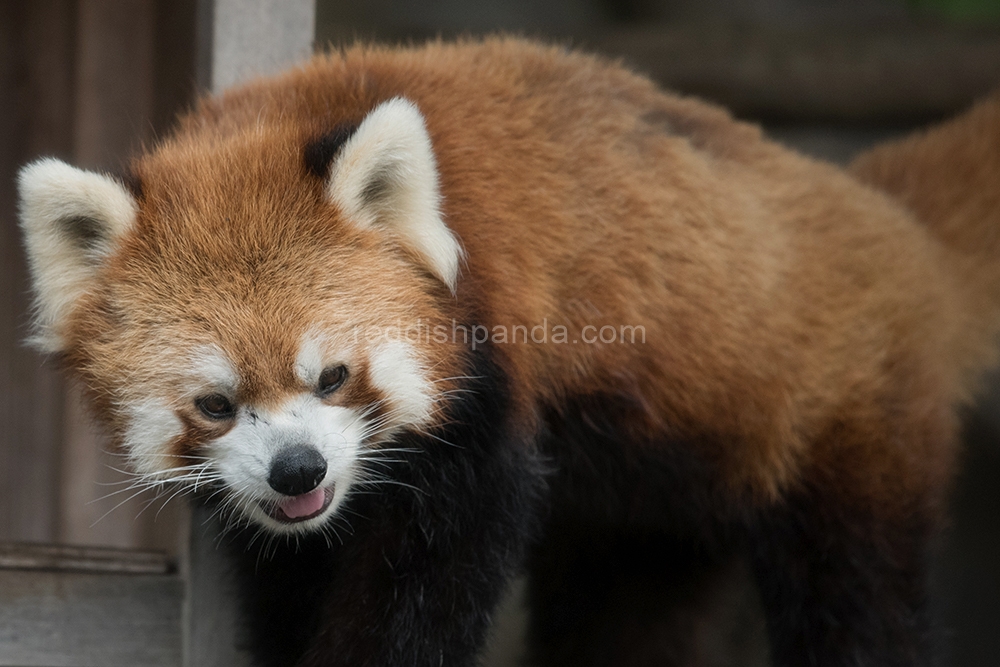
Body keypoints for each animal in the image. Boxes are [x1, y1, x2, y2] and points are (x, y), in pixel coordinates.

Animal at [13, 37, 1000, 667]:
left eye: (334, 376)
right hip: (658, 492)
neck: (292, 111)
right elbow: (287, 571)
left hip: (845, 424)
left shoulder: (489, 379)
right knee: (625, 609)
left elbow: (431, 574)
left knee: (856, 601)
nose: (298, 470)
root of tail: (893, 227)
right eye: (216, 403)